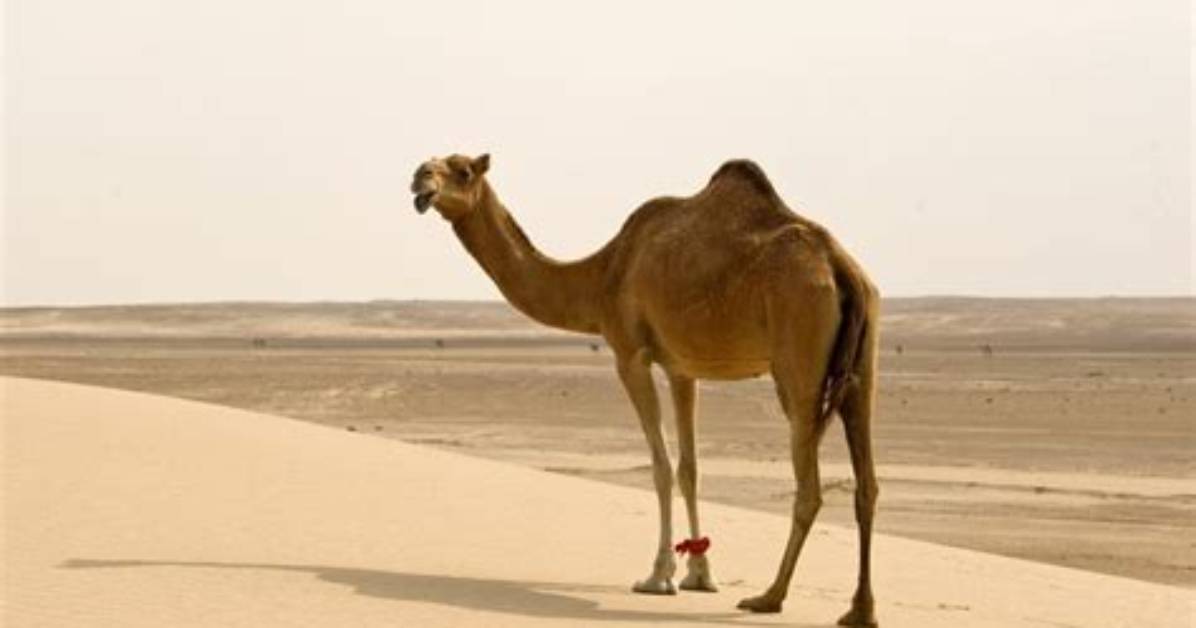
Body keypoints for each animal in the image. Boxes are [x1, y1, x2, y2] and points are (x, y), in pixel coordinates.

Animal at [410, 153, 881, 627]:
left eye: (462, 171)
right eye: (430, 164)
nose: (420, 180)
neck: (603, 274)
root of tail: (841, 268)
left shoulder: (630, 355)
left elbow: (661, 466)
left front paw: (659, 576)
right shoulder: (682, 367)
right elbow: (690, 468)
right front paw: (700, 574)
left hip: (798, 358)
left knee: (809, 487)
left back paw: (770, 596)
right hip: (864, 362)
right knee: (867, 483)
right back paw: (859, 609)